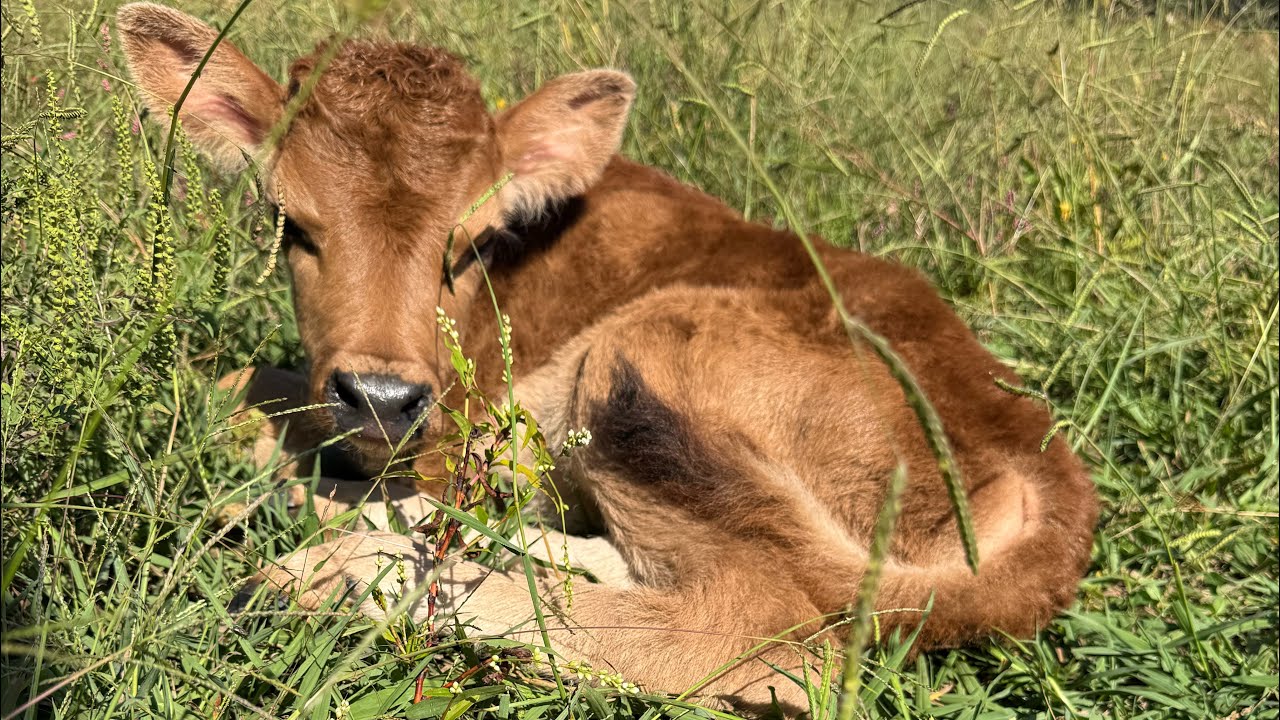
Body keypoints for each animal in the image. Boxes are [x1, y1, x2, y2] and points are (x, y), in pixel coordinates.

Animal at [118, 3, 1098, 715]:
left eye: (471, 245)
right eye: (292, 224)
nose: (381, 396)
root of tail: (1045, 475)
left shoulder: (453, 428)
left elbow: (240, 392)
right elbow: (242, 383)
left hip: (645, 356)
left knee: (773, 634)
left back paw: (334, 567)